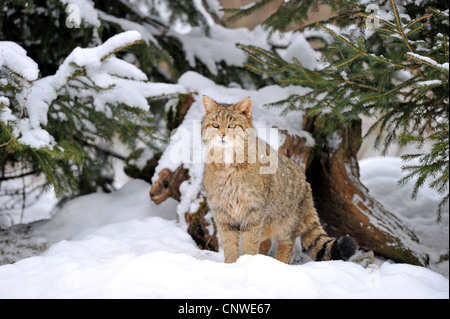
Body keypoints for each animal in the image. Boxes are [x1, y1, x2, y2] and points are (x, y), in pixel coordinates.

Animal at [202, 95, 356, 264]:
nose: (222, 134)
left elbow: (250, 243)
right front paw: (231, 265)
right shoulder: (223, 213)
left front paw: (247, 262)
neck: (228, 165)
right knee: (267, 241)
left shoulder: (254, 211)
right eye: (215, 125)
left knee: (287, 244)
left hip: (285, 222)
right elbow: (230, 246)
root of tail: (306, 183)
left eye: (232, 125)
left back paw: (279, 264)